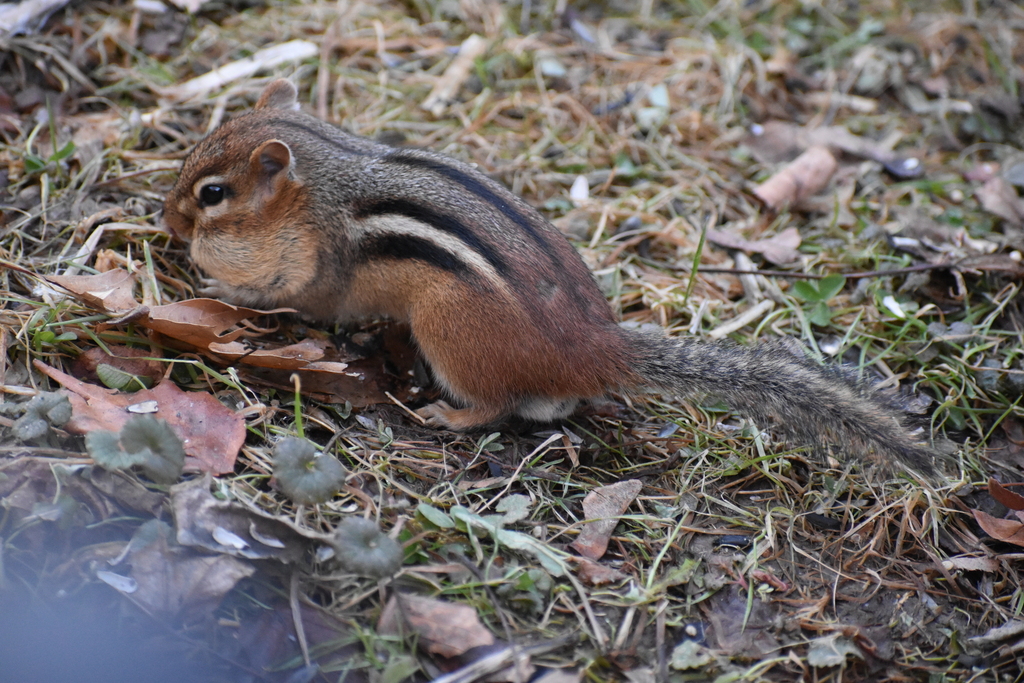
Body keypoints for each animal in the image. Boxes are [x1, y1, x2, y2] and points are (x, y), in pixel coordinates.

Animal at [163, 79, 938, 477]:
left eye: (212, 195)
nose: (167, 218)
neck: (323, 183)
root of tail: (598, 346)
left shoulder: (318, 269)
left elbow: (296, 299)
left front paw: (219, 287)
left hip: (449, 330)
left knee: (496, 404)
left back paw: (446, 414)